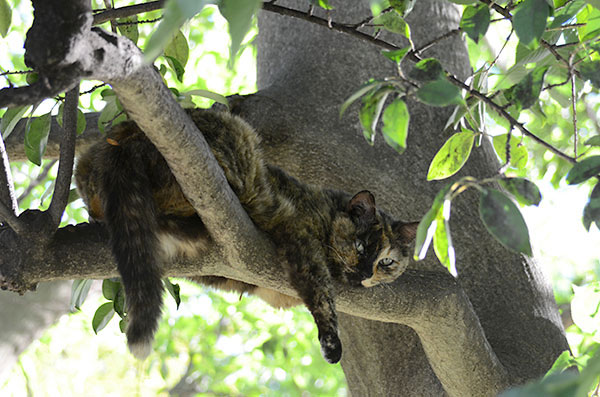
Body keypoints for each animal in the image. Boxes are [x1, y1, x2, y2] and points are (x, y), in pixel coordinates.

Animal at [76, 108, 418, 362]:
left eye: (386, 262)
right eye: (360, 246)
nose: (365, 274)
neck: (325, 210)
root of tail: (129, 138)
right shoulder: (299, 235)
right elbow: (320, 293)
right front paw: (331, 340)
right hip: (239, 140)